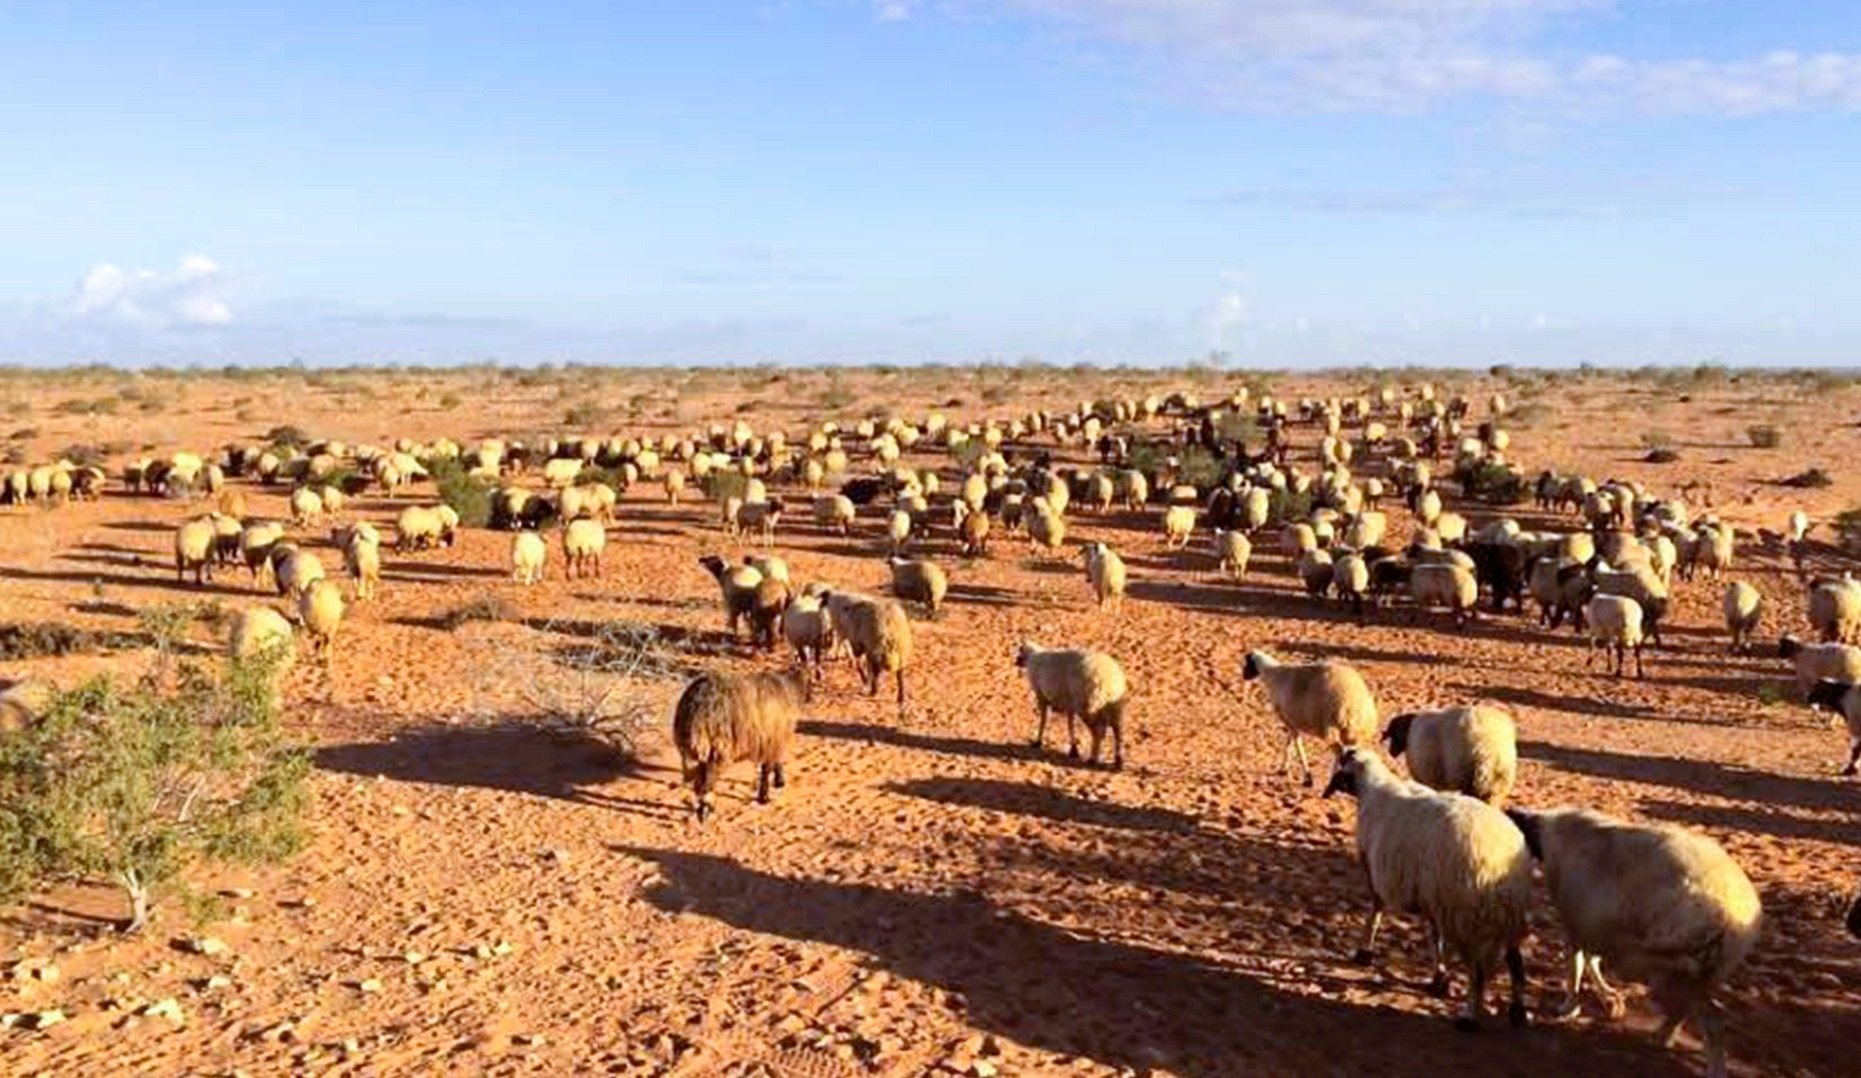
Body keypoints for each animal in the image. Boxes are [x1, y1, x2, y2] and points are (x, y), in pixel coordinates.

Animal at [677, 670, 807, 822]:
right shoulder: (772, 737)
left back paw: (703, 808)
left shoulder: (773, 738)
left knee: (702, 779)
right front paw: (765, 796)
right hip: (717, 743)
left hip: (705, 748)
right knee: (706, 780)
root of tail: (697, 706)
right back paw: (706, 809)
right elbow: (768, 767)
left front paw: (777, 783)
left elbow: (774, 761)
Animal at [1325, 748, 1526, 1035]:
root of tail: (1500, 858)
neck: (1374, 787)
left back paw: (1469, 1018)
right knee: (1516, 962)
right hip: (1508, 917)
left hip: (1466, 918)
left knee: (1477, 974)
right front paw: (1439, 978)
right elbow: (1434, 937)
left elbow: (1375, 913)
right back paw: (1518, 1012)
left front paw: (1364, 952)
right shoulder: (1432, 900)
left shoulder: (1375, 873)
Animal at [1503, 811, 1764, 1078]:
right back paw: (1663, 1036)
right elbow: (1590, 960)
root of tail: (1735, 916)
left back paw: (1703, 1061)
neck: (1547, 835)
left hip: (1671, 971)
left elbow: (1576, 967)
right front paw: (1610, 1000)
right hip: (1696, 974)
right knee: (1691, 1011)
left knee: (1711, 1018)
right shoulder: (1595, 927)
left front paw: (1570, 1008)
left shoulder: (1577, 925)